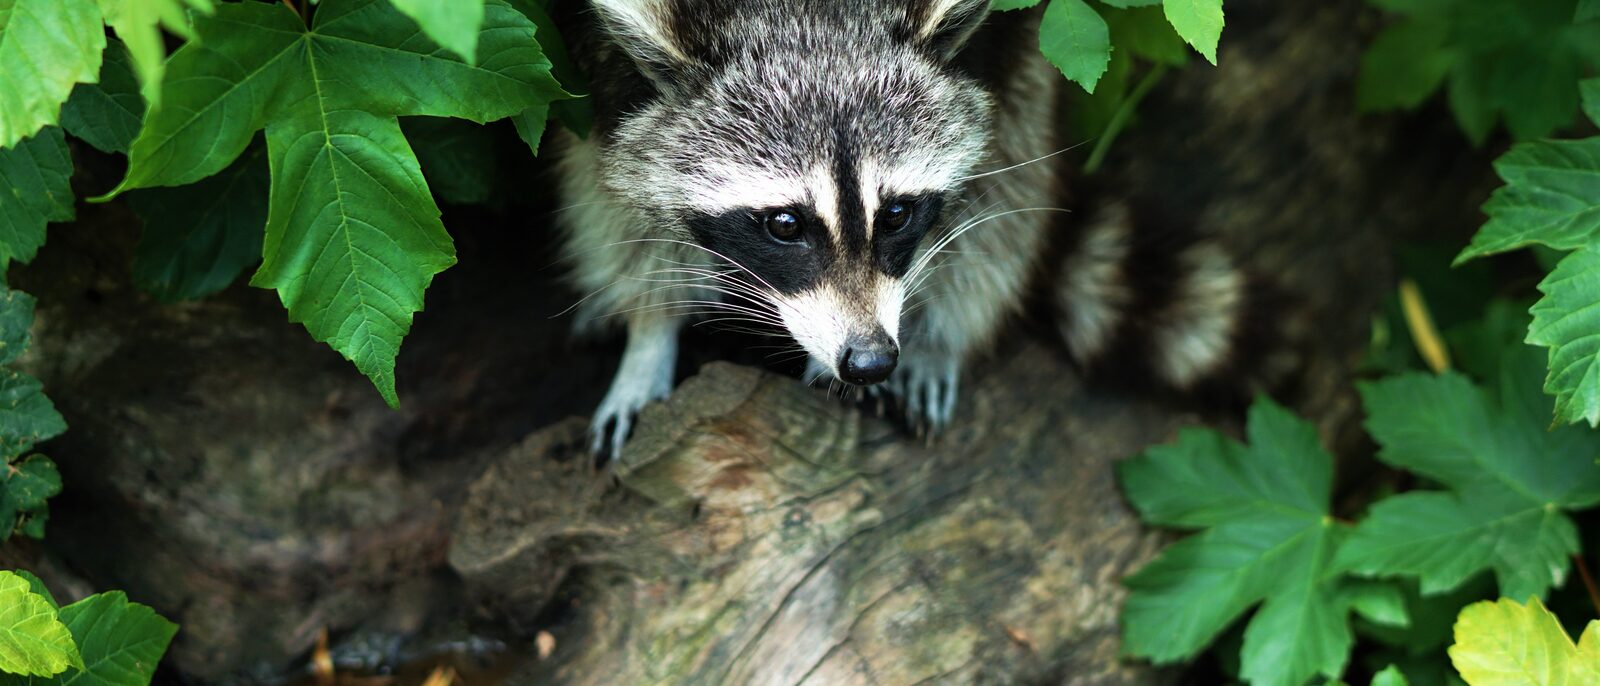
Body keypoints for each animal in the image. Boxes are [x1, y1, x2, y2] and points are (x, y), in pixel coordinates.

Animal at [554, 0, 1271, 457]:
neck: (801, 17)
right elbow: (612, 191)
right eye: (784, 225)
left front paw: (932, 331)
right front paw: (650, 333)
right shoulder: (599, 65)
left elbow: (994, 173)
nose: (871, 359)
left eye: (896, 214)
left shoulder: (1000, 41)